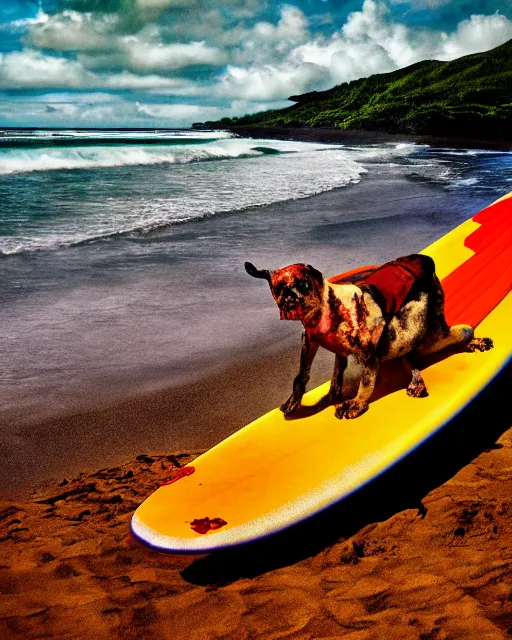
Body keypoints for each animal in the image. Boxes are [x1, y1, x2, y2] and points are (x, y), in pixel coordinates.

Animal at [246, 255, 494, 420]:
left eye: (304, 284)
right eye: (279, 288)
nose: (291, 298)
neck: (324, 314)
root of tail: (423, 258)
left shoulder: (368, 352)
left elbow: (366, 382)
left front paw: (356, 404)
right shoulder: (313, 343)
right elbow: (306, 376)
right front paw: (303, 399)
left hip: (415, 332)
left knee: (458, 332)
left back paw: (474, 342)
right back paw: (415, 378)